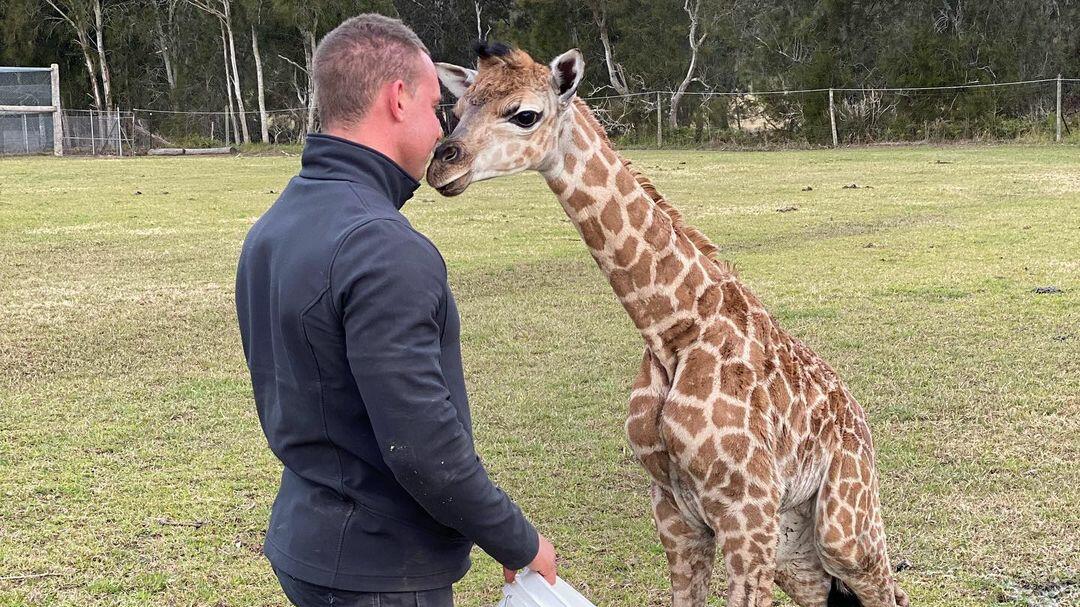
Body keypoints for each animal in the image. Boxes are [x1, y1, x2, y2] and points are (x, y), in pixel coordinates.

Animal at [425, 42, 907, 604]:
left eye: (525, 114)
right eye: (457, 110)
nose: (441, 166)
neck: (673, 330)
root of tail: (861, 421)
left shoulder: (747, 511)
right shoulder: (674, 511)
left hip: (843, 526)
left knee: (887, 588)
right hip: (795, 544)